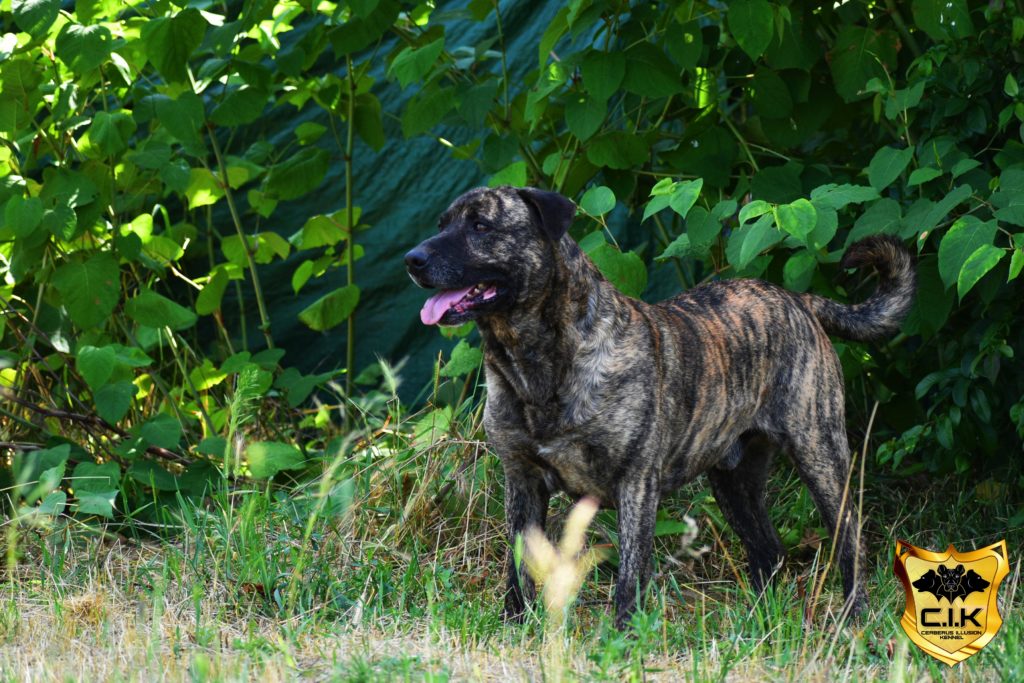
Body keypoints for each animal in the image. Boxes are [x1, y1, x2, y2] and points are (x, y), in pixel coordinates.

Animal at [403, 184, 917, 626]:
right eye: (442, 223)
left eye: (481, 226)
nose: (413, 258)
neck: (538, 365)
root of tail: (801, 300)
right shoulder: (522, 481)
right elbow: (518, 568)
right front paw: (515, 624)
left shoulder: (636, 483)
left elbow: (631, 574)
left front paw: (624, 636)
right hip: (734, 481)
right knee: (768, 551)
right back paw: (759, 623)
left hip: (821, 455)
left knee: (848, 538)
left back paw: (853, 616)